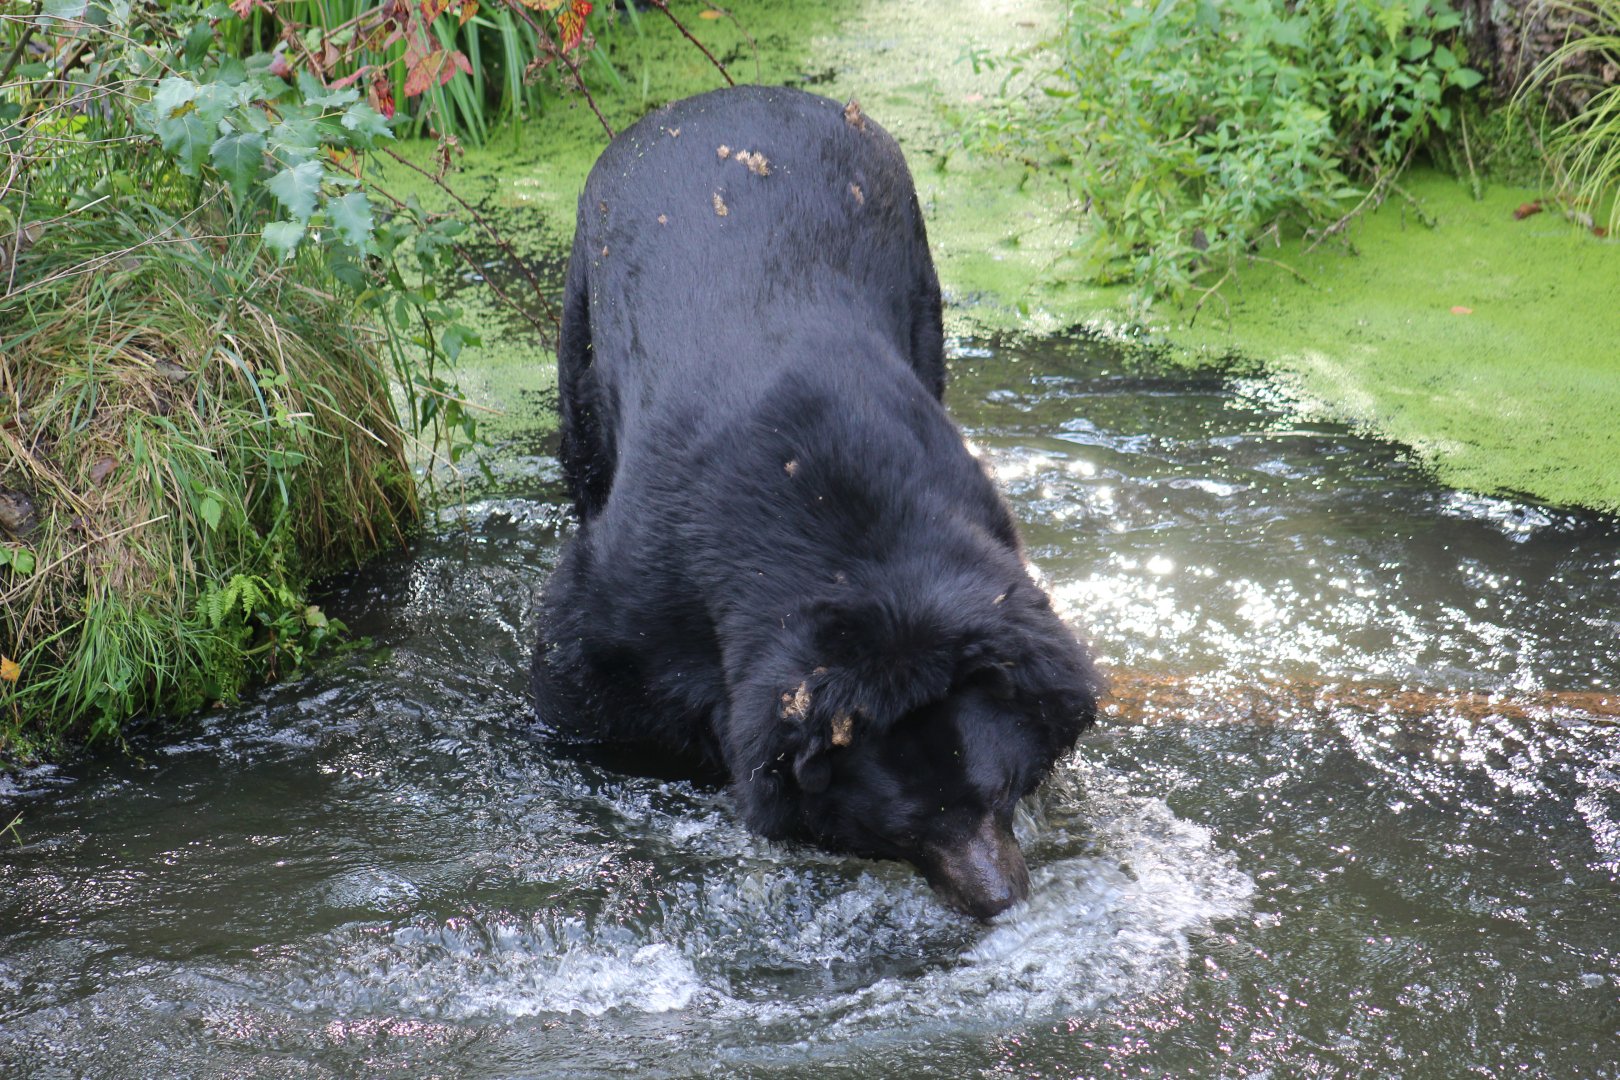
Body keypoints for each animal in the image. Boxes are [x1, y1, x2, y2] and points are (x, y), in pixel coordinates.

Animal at [531, 85, 1099, 919]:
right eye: (904, 828)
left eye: (1001, 791)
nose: (998, 897)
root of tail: (723, 96)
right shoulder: (632, 600)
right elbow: (580, 685)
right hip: (582, 310)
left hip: (919, 273)